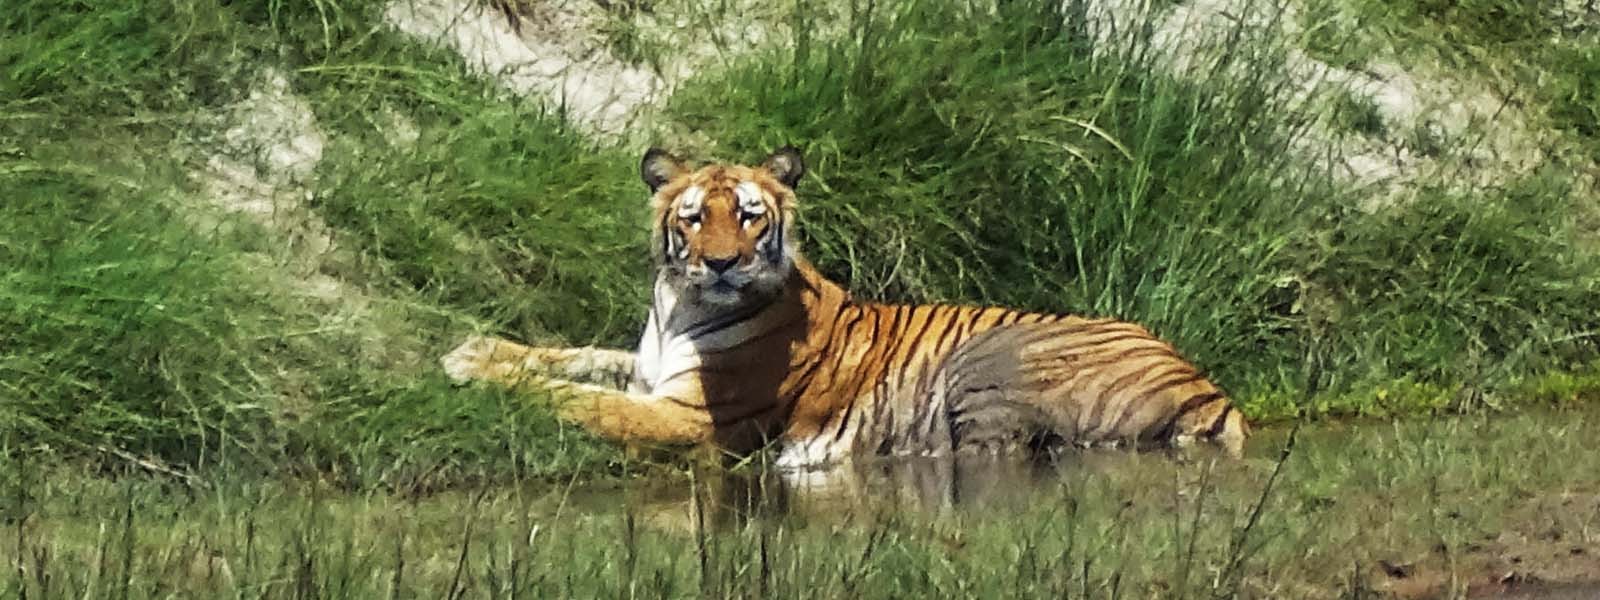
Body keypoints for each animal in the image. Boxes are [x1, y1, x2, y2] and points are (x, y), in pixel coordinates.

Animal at [441, 144, 1248, 464]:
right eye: (695, 217)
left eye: (751, 216)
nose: (724, 263)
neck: (679, 309)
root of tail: (1212, 388)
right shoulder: (645, 368)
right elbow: (574, 357)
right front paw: (477, 348)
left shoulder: (688, 418)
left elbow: (578, 399)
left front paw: (472, 374)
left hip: (985, 361)